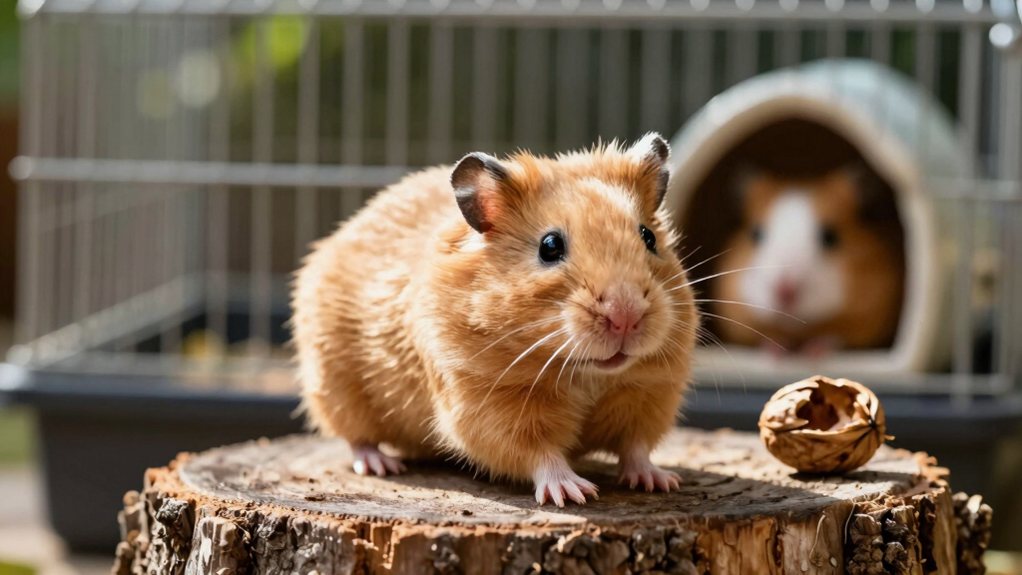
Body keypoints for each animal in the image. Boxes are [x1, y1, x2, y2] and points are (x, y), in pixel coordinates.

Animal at [291, 133, 699, 506]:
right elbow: (539, 453)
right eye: (550, 246)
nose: (625, 317)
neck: (586, 374)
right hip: (335, 387)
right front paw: (573, 493)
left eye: (648, 237)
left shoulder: (650, 394)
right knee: (356, 438)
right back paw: (381, 465)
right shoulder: (490, 406)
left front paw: (661, 481)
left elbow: (636, 446)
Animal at [712, 166, 904, 354]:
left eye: (830, 237)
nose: (784, 292)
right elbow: (767, 335)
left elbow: (834, 336)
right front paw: (775, 351)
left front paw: (814, 351)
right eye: (755, 234)